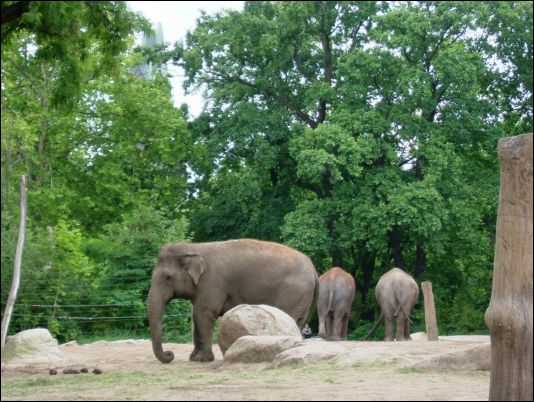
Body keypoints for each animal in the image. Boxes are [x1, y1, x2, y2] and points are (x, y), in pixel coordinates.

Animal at [149, 239, 320, 364]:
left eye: (168, 277)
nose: (170, 354)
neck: (193, 247)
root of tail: (313, 268)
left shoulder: (211, 282)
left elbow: (203, 314)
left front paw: (201, 360)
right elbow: (194, 316)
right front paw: (193, 358)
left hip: (293, 291)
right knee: (297, 322)